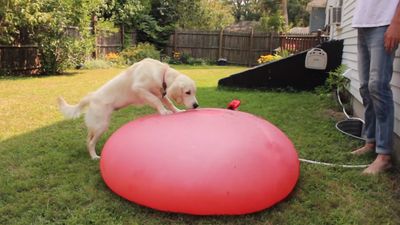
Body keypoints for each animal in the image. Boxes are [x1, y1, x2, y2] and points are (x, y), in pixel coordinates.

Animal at [57, 58, 198, 160]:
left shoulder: (161, 93)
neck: (161, 72)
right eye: (187, 92)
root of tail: (91, 97)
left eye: (194, 92)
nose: (196, 105)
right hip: (101, 125)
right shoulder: (140, 89)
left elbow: (168, 103)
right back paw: (94, 156)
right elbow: (156, 101)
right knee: (91, 143)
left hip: (95, 126)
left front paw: (177, 111)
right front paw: (163, 111)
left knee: (88, 140)